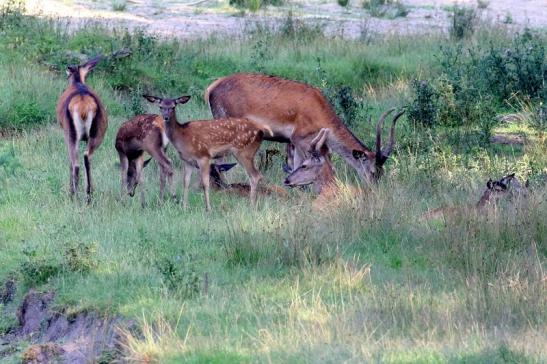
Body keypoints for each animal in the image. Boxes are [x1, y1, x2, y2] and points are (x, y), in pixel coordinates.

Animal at [56, 56, 107, 202]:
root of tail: (84, 107)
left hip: (72, 134)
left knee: (76, 163)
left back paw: (74, 196)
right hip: (97, 134)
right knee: (86, 157)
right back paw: (89, 195)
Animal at [144, 95, 272, 212]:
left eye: (173, 107)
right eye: (160, 106)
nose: (165, 117)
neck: (182, 137)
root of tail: (261, 129)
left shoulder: (204, 156)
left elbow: (206, 183)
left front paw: (208, 208)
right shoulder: (187, 161)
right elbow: (186, 182)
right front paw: (184, 207)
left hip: (244, 152)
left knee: (255, 176)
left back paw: (251, 206)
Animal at [206, 73, 406, 183]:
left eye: (382, 173)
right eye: (373, 172)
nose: (374, 189)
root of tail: (210, 89)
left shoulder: (301, 143)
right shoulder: (299, 138)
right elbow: (297, 167)